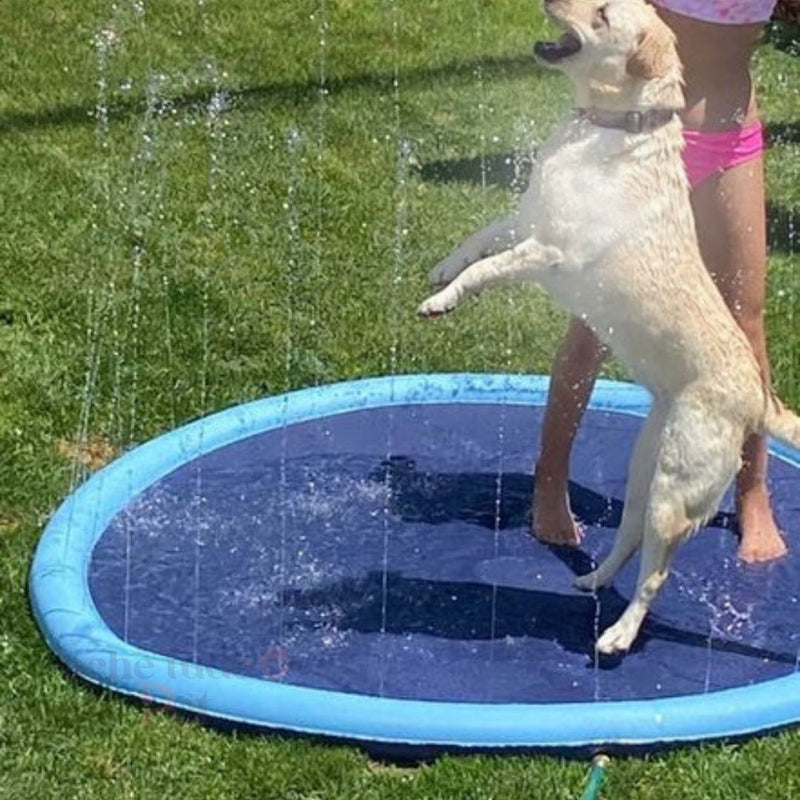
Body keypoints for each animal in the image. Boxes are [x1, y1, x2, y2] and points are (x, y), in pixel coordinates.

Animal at [418, 0, 800, 652]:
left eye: (600, 15)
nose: (549, 0)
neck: (613, 125)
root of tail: (757, 397)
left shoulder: (547, 249)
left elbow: (488, 268)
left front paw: (445, 298)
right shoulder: (527, 220)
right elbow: (479, 239)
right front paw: (444, 270)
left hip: (677, 485)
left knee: (657, 572)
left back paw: (620, 634)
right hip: (647, 469)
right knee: (629, 539)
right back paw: (594, 579)